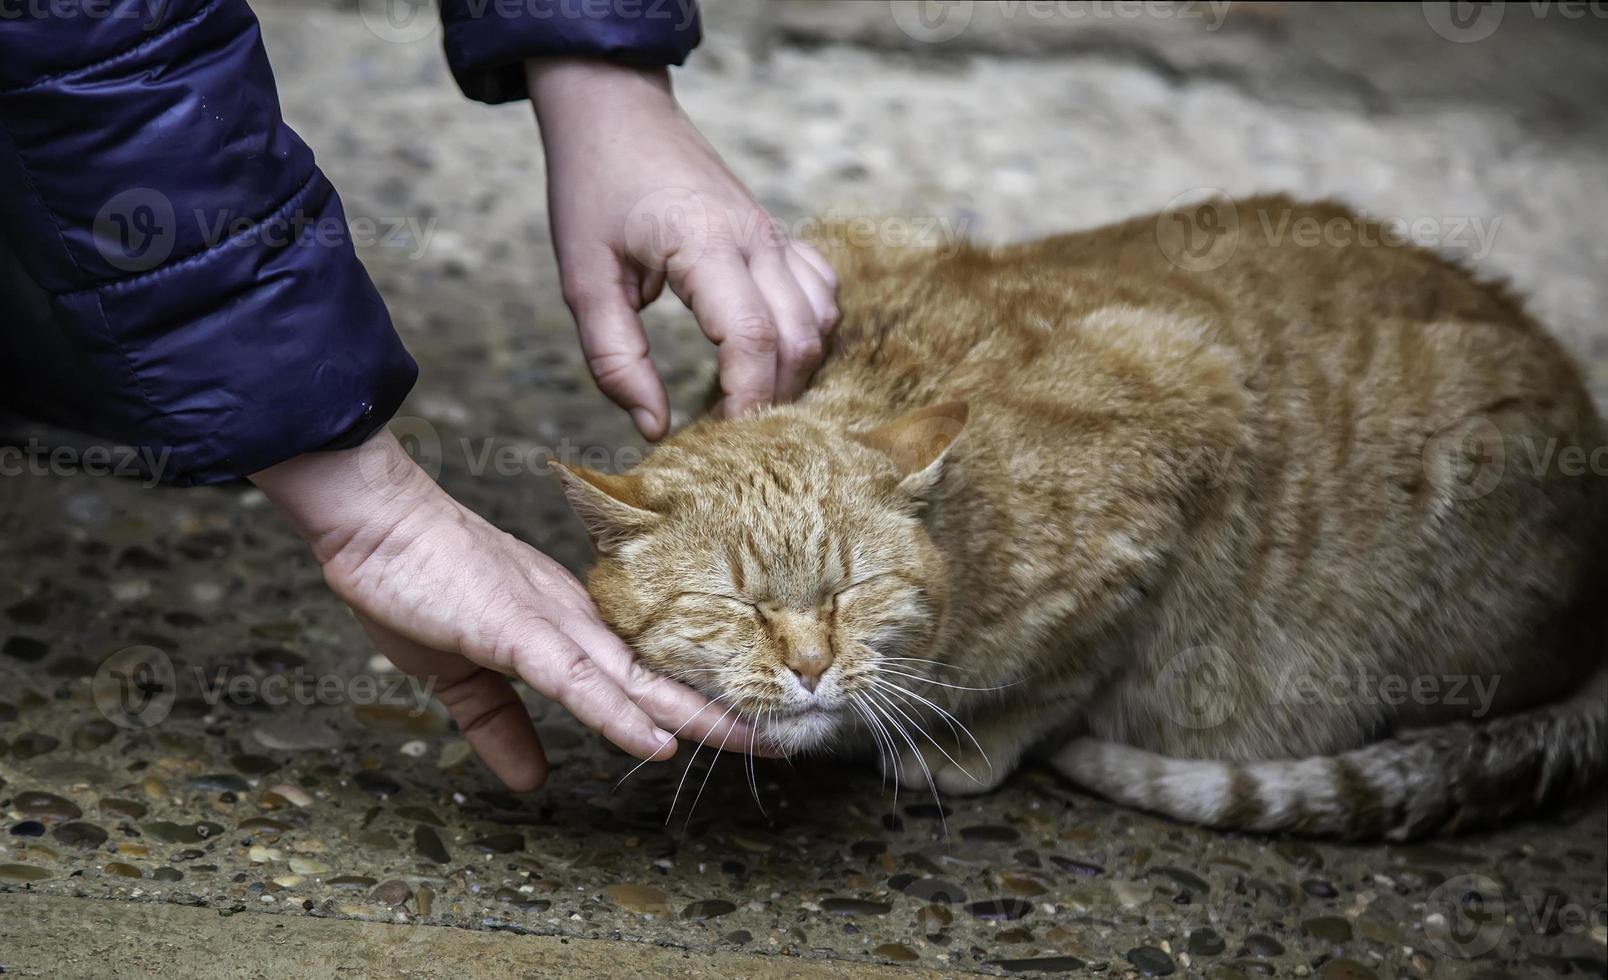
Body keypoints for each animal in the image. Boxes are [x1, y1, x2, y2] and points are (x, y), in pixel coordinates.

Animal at [556, 194, 1608, 836]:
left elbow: (1067, 675)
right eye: (737, 607)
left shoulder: (1193, 415)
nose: (812, 667)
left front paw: (963, 751)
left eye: (856, 590)